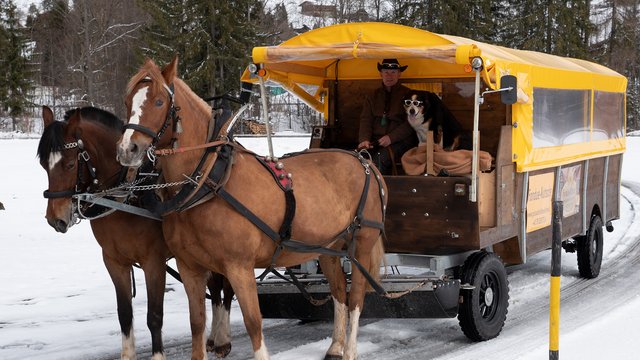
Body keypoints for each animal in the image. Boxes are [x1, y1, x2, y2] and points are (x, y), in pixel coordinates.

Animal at [37, 105, 235, 358]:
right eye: (44, 165)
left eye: (70, 164)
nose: (56, 219)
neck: (126, 192)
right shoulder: (114, 261)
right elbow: (124, 314)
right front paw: (127, 354)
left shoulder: (153, 261)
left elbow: (154, 316)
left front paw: (158, 355)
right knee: (215, 288)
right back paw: (212, 338)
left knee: (224, 289)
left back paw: (222, 339)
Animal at [114, 57, 384, 360]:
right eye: (127, 101)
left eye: (159, 101)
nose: (127, 150)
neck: (210, 181)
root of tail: (363, 160)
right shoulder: (190, 267)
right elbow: (197, 323)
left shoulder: (239, 267)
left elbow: (253, 322)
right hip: (327, 248)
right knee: (338, 291)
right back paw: (336, 345)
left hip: (361, 244)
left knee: (356, 297)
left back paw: (349, 349)